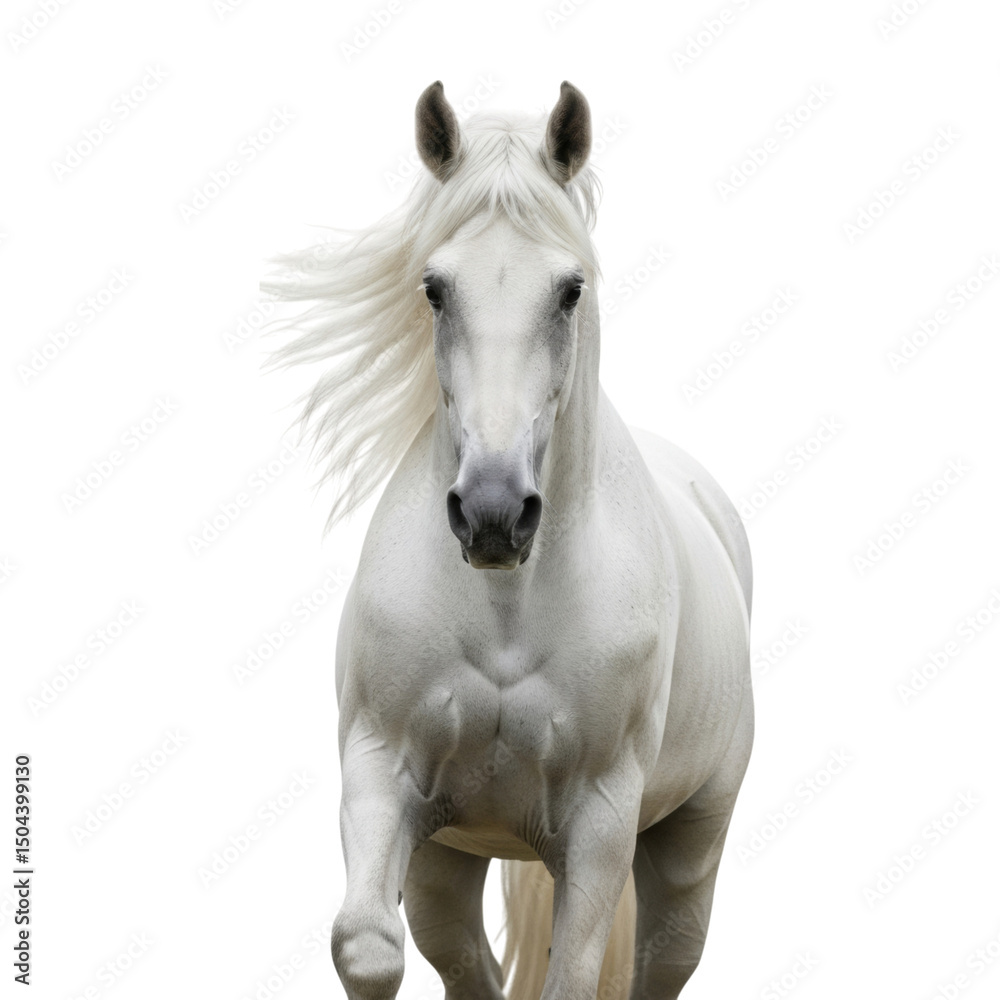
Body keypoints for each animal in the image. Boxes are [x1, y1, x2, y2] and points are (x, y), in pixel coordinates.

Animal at [265, 80, 754, 1000]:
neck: (507, 610)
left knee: (665, 955)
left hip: (688, 844)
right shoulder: (383, 775)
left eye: (569, 290)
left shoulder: (601, 821)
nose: (493, 513)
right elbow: (367, 945)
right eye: (433, 288)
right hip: (448, 861)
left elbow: (573, 977)